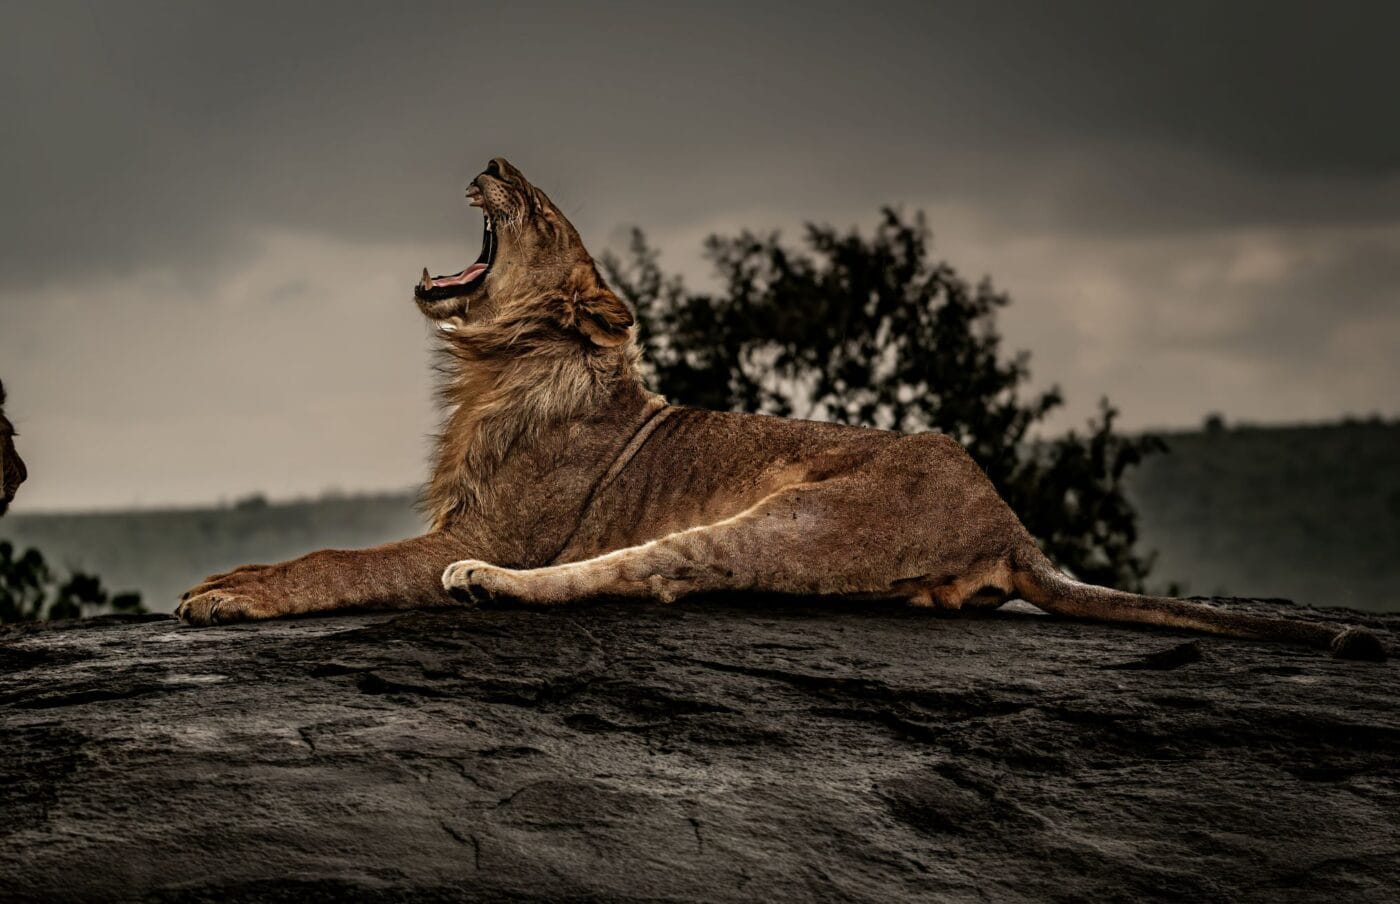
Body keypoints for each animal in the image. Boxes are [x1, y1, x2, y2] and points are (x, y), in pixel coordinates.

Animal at [176, 158, 1386, 661]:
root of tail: (1010, 524)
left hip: (786, 520)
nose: (491, 160)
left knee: (643, 573)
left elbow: (340, 557)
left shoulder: (493, 525)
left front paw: (229, 594)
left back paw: (481, 591)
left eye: (537, 209)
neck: (492, 369)